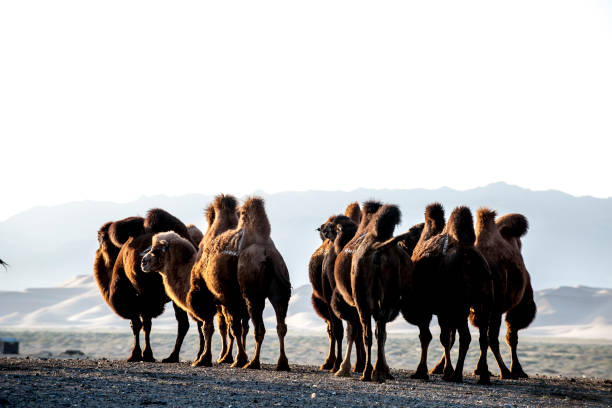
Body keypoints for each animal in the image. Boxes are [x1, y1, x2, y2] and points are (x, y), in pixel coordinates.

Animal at [404, 206, 494, 384]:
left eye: (411, 232)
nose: (401, 240)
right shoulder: (445, 311)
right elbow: (447, 337)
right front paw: (443, 371)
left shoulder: (429, 309)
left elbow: (429, 336)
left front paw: (424, 372)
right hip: (483, 303)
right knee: (483, 337)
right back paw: (483, 376)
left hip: (459, 306)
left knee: (465, 337)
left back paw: (457, 375)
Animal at [470, 210, 536, 380]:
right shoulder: (504, 308)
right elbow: (511, 338)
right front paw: (517, 370)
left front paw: (479, 369)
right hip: (493, 308)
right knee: (493, 338)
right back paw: (505, 371)